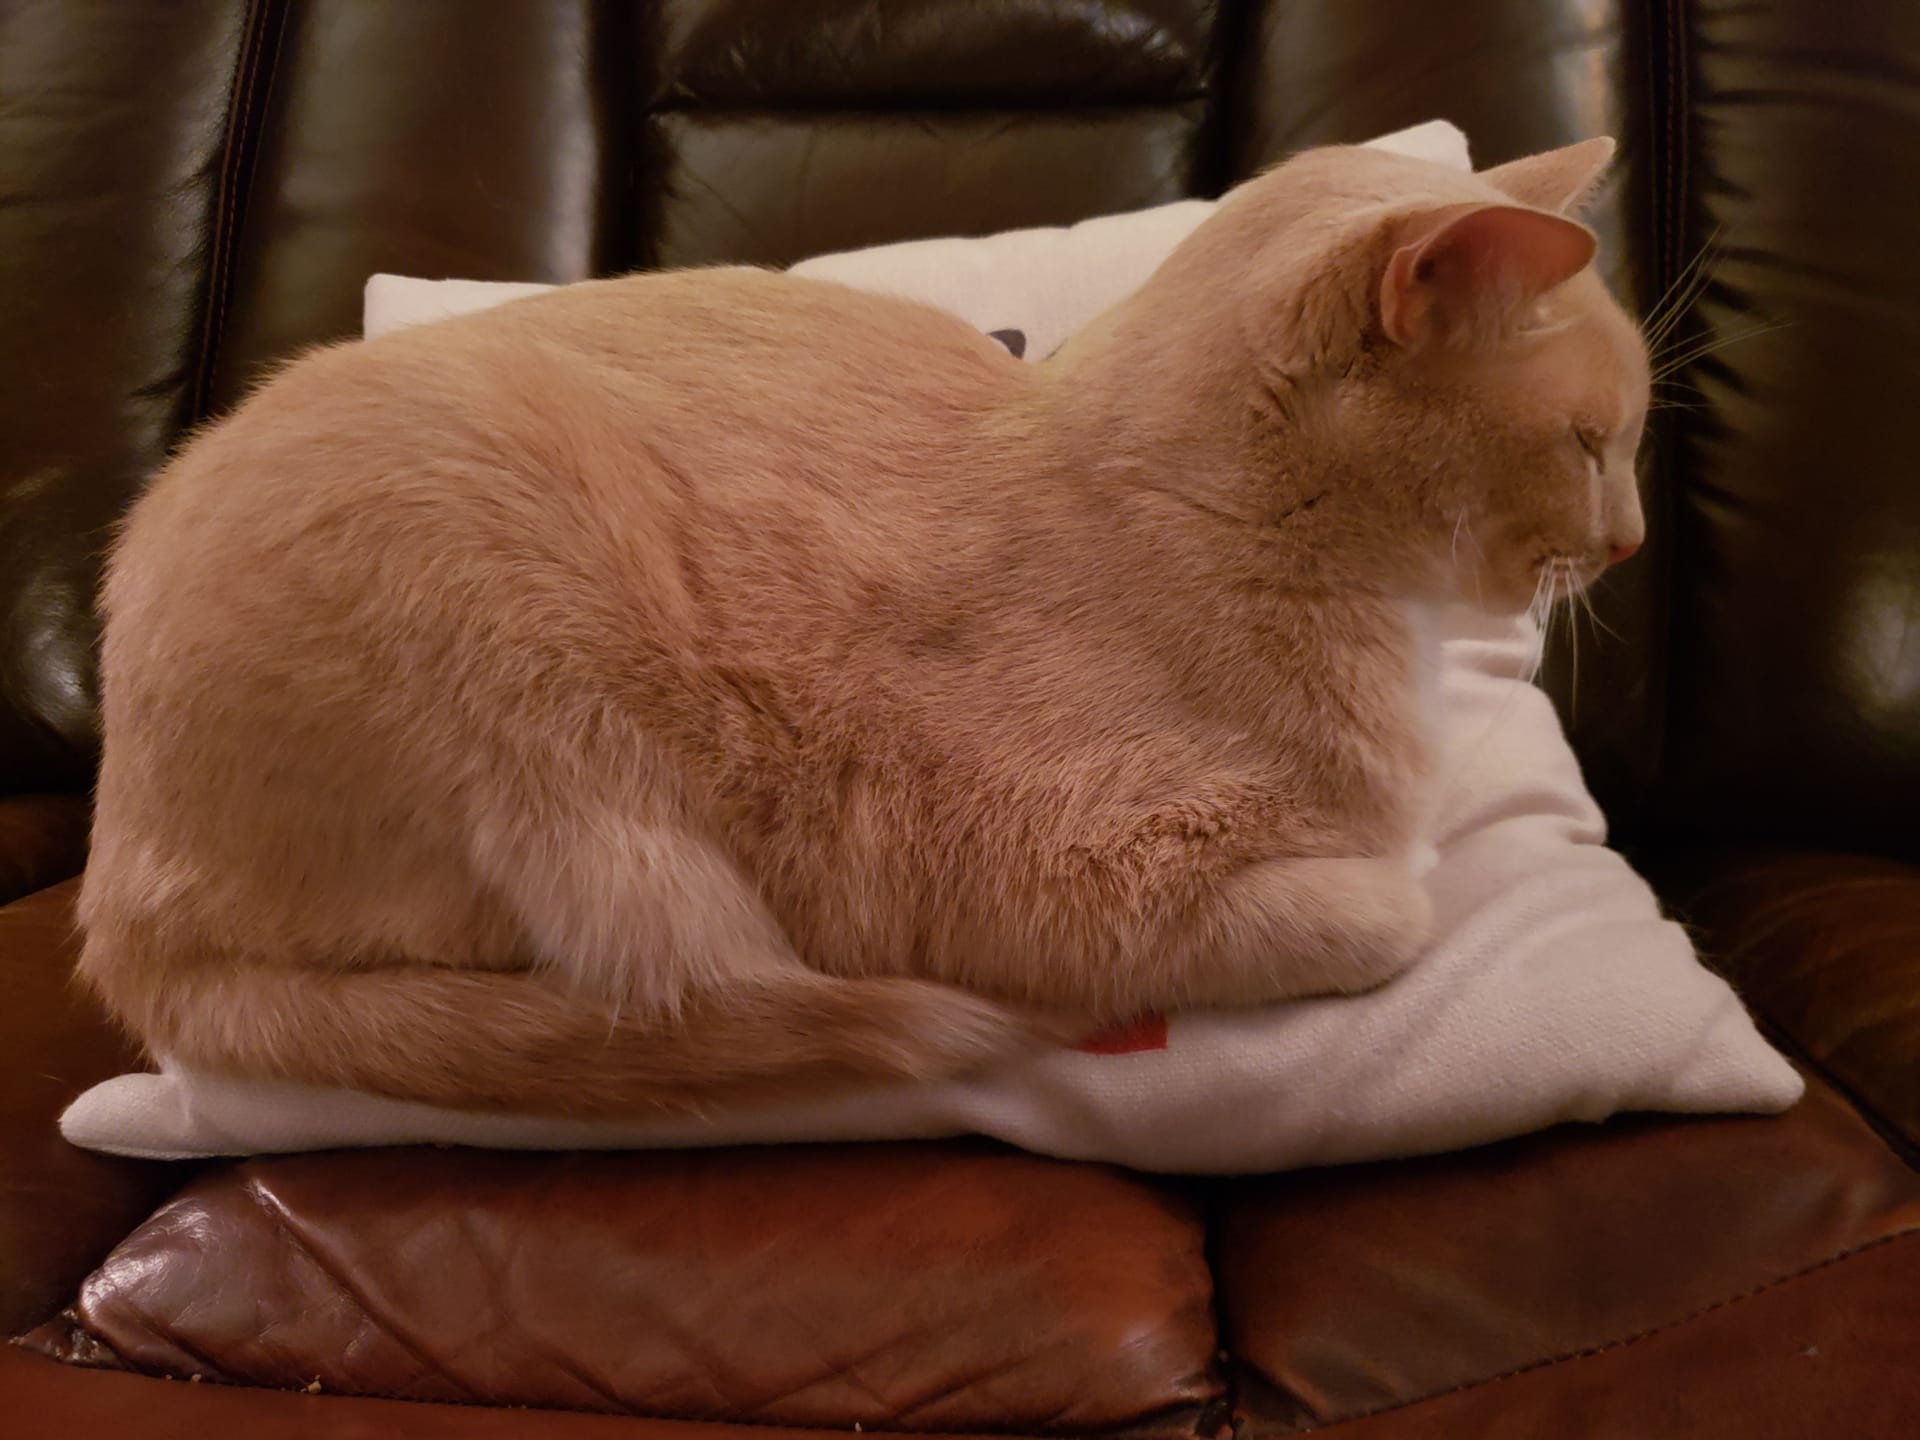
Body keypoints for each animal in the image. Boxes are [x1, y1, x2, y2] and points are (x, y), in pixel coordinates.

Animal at [74, 141, 1651, 1121]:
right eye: (1591, 445)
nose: (1632, 541)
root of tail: (113, 876)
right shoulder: (1044, 876)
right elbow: (1389, 909)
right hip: (566, 738)